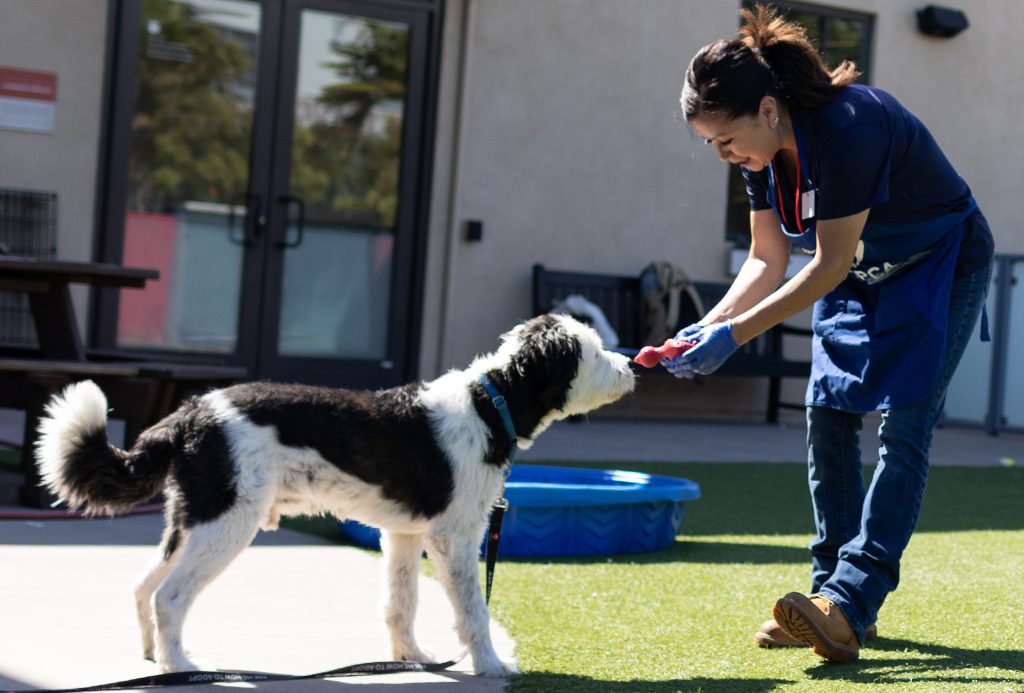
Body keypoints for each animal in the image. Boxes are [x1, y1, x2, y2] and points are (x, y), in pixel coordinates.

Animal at [34, 313, 630, 675]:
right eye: (596, 352)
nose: (631, 366)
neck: (493, 402)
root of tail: (190, 414)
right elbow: (474, 612)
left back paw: (155, 658)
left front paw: (410, 658)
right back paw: (182, 667)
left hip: (194, 519)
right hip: (228, 524)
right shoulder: (455, 538)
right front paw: (489, 666)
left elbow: (400, 604)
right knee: (170, 596)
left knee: (143, 587)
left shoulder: (404, 533)